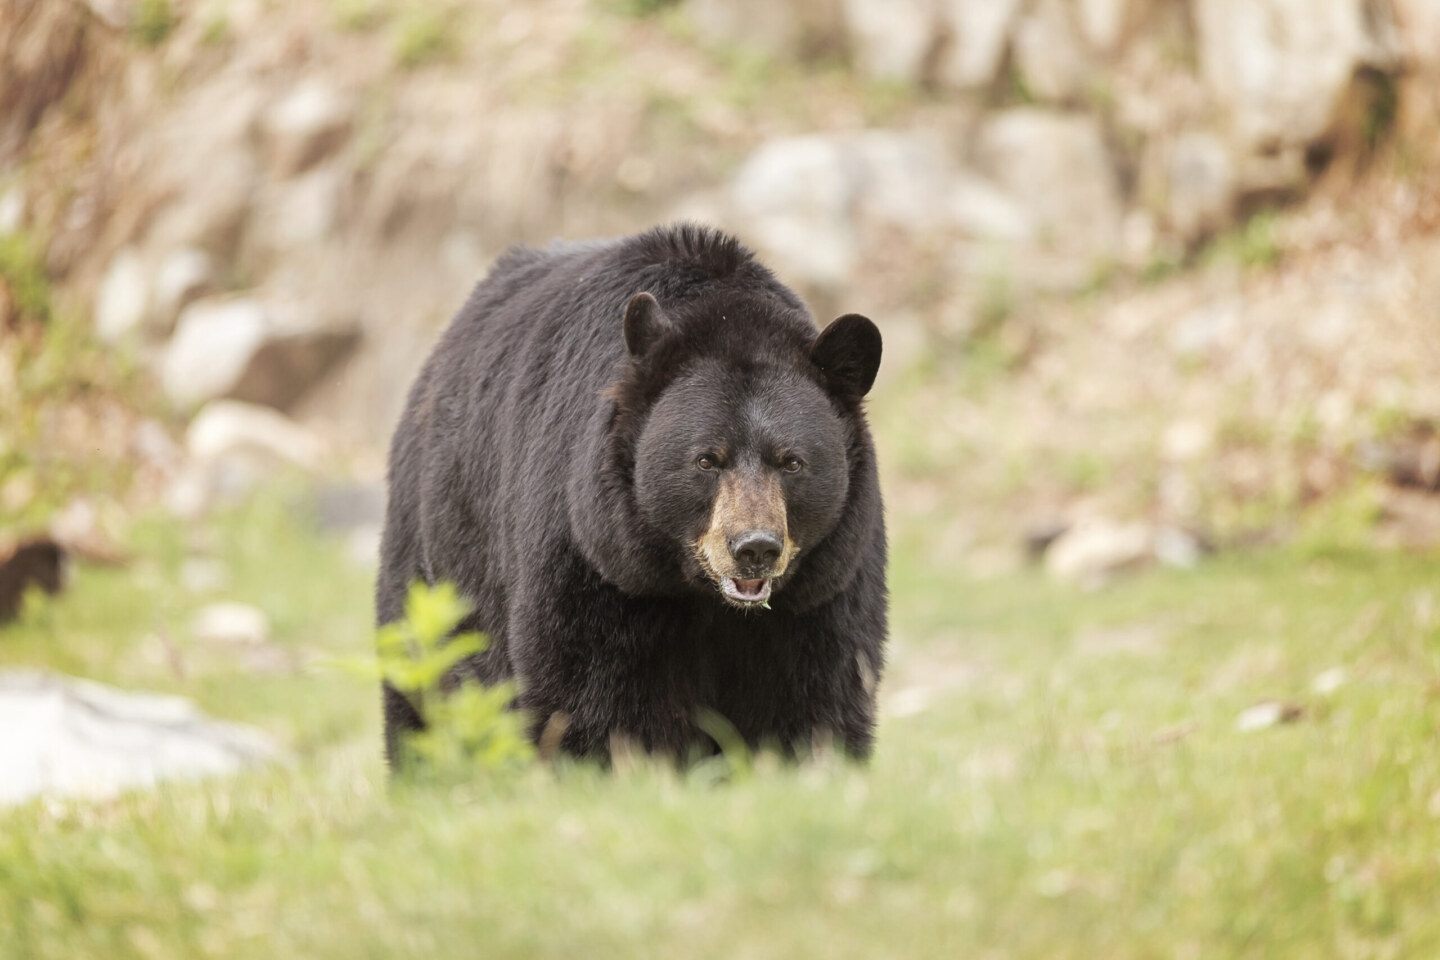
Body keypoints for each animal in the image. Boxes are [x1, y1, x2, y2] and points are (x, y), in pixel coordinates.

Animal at [377, 223, 881, 765]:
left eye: (792, 462)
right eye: (706, 460)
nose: (754, 548)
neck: (701, 597)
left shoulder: (825, 585)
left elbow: (820, 692)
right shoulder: (594, 553)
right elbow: (587, 691)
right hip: (435, 556)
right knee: (419, 676)